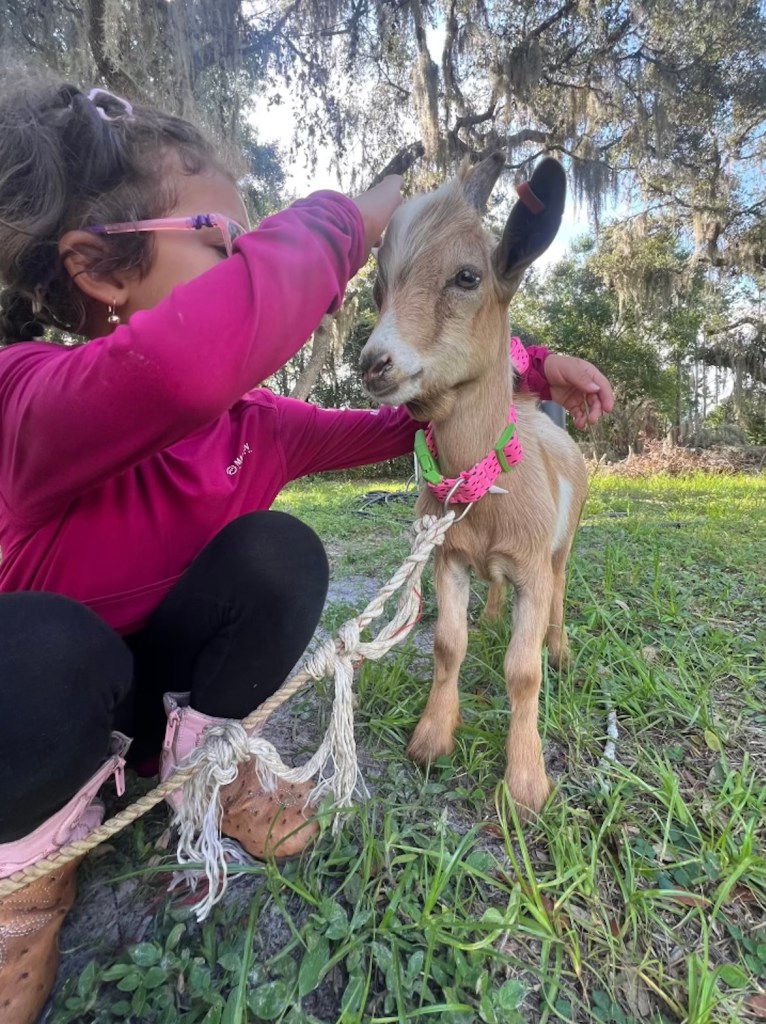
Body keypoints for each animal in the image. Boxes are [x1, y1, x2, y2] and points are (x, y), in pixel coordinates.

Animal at [360, 154, 589, 819]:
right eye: (378, 288)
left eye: (467, 276)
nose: (374, 363)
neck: (485, 488)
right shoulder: (449, 556)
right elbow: (447, 643)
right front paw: (432, 737)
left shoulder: (532, 566)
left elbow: (522, 670)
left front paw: (528, 782)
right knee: (494, 593)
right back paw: (491, 617)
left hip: (563, 545)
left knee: (561, 590)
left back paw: (560, 649)